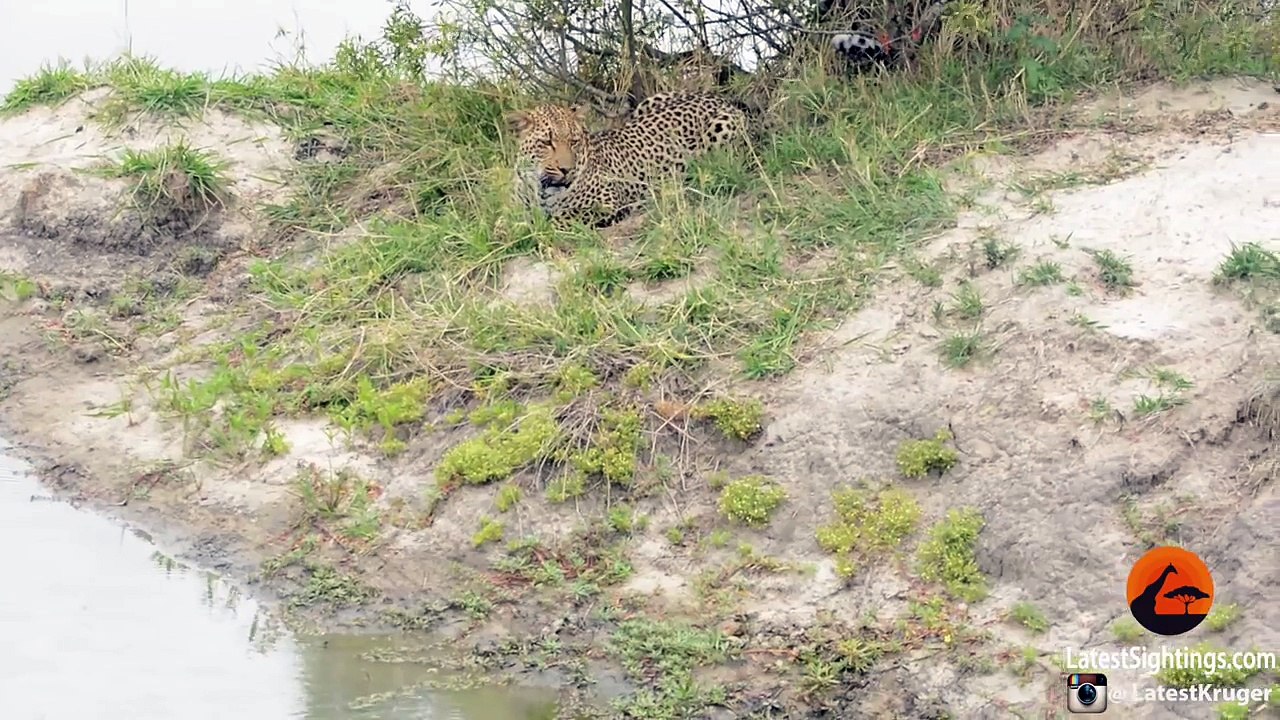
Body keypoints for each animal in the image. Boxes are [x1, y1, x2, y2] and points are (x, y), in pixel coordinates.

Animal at [507, 92, 752, 229]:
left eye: (574, 141)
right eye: (547, 142)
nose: (567, 169)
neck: (540, 189)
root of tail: (721, 98)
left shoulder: (607, 203)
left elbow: (563, 217)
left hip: (720, 130)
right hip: (649, 102)